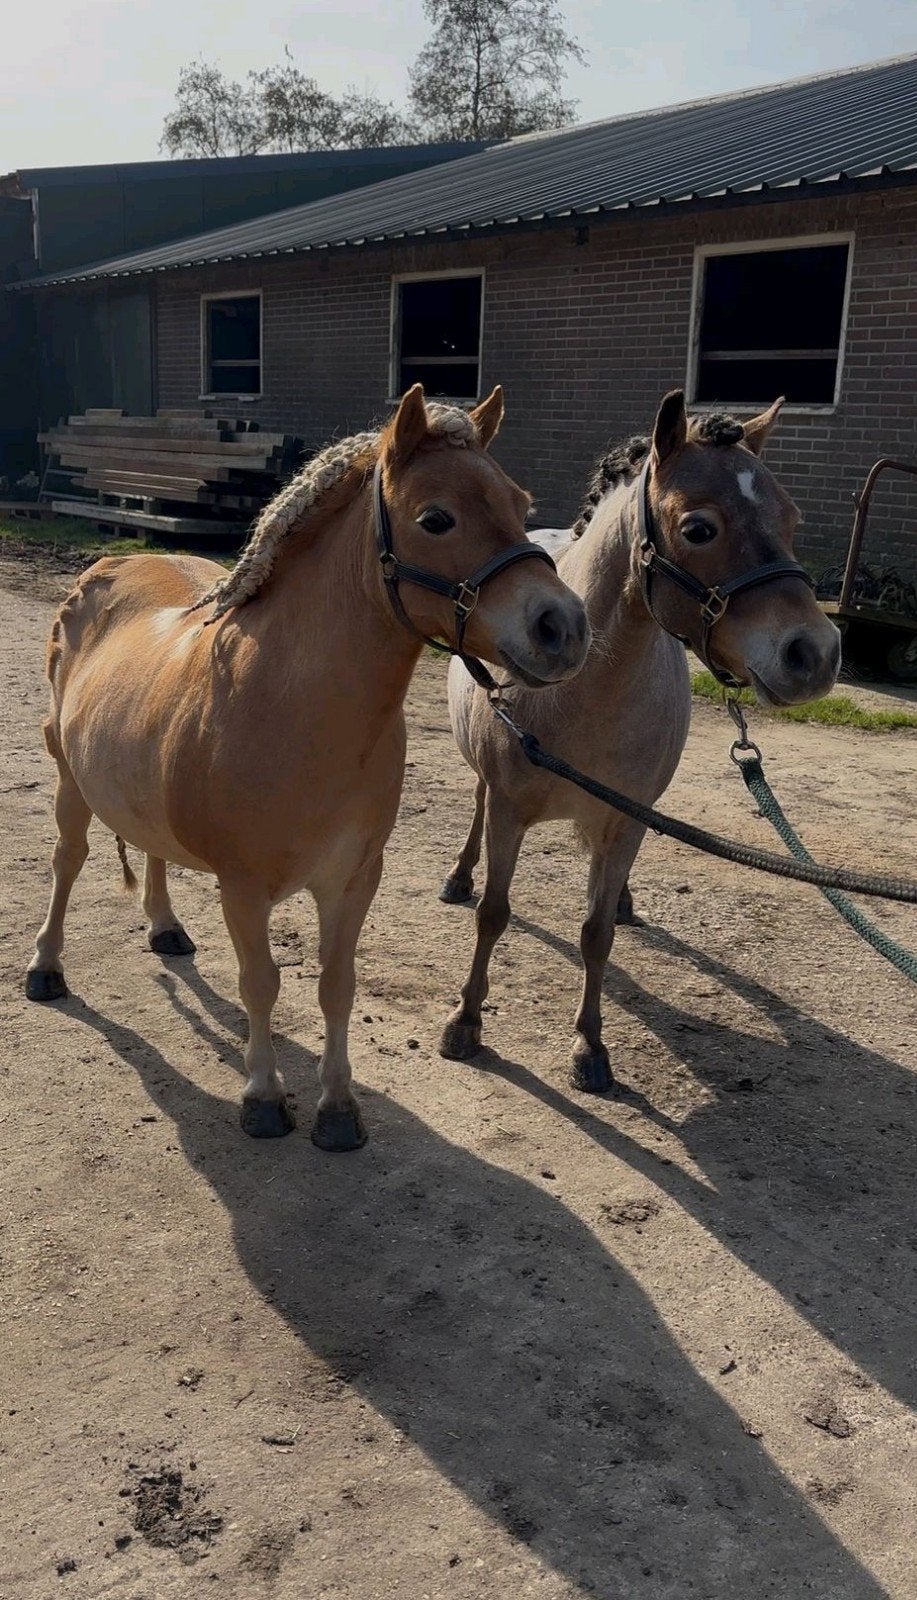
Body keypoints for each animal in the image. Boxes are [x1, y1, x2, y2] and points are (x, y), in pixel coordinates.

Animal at [26, 385, 590, 1151]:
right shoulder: (243, 888)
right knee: (68, 861)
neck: (288, 706)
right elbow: (261, 983)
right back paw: (45, 968)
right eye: (435, 518)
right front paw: (264, 1098)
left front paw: (338, 1108)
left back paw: (164, 927)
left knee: (152, 849)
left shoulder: (352, 880)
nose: (563, 628)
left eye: (519, 501)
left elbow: (335, 985)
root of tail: (100, 571)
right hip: (68, 783)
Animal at [438, 390, 842, 1092]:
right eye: (700, 528)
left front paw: (590, 1046)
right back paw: (459, 876)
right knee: (477, 805)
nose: (815, 655)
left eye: (790, 518)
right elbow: (494, 912)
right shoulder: (511, 813)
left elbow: (596, 933)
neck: (587, 692)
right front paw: (466, 1022)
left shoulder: (624, 823)